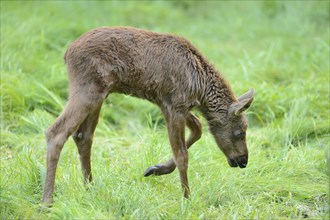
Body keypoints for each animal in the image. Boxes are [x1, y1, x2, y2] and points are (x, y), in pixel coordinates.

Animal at [40, 26, 253, 204]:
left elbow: (198, 128)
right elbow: (182, 155)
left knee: (83, 137)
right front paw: (187, 198)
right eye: (240, 133)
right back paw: (47, 201)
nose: (243, 161)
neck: (201, 90)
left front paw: (156, 169)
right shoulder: (175, 104)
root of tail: (67, 53)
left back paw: (89, 189)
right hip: (88, 90)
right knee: (56, 132)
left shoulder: (171, 104)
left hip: (99, 94)